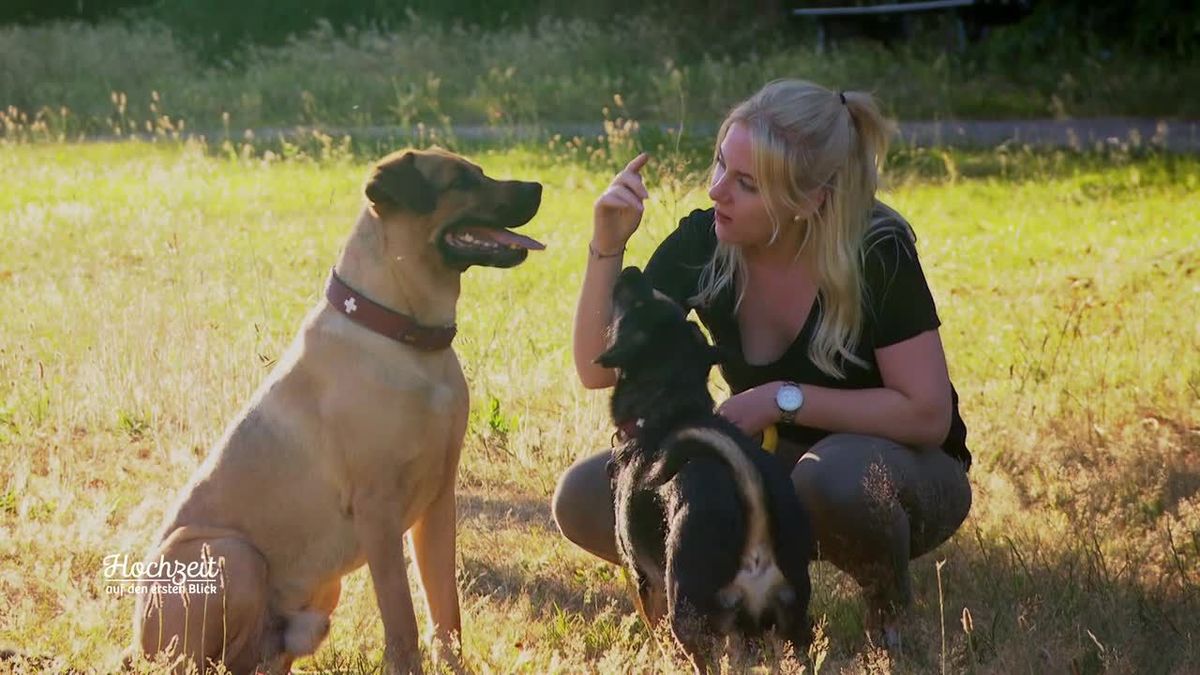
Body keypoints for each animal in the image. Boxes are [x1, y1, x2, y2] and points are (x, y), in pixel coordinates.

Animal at [127, 148, 544, 672]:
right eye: (460, 180)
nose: (537, 187)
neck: (405, 335)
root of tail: (136, 644)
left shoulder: (438, 503)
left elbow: (445, 609)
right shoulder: (377, 510)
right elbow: (402, 618)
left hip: (319, 595)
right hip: (232, 555)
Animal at [600, 266, 816, 667]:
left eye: (638, 301)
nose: (631, 270)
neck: (672, 406)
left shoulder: (643, 579)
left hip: (687, 615)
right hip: (789, 627)